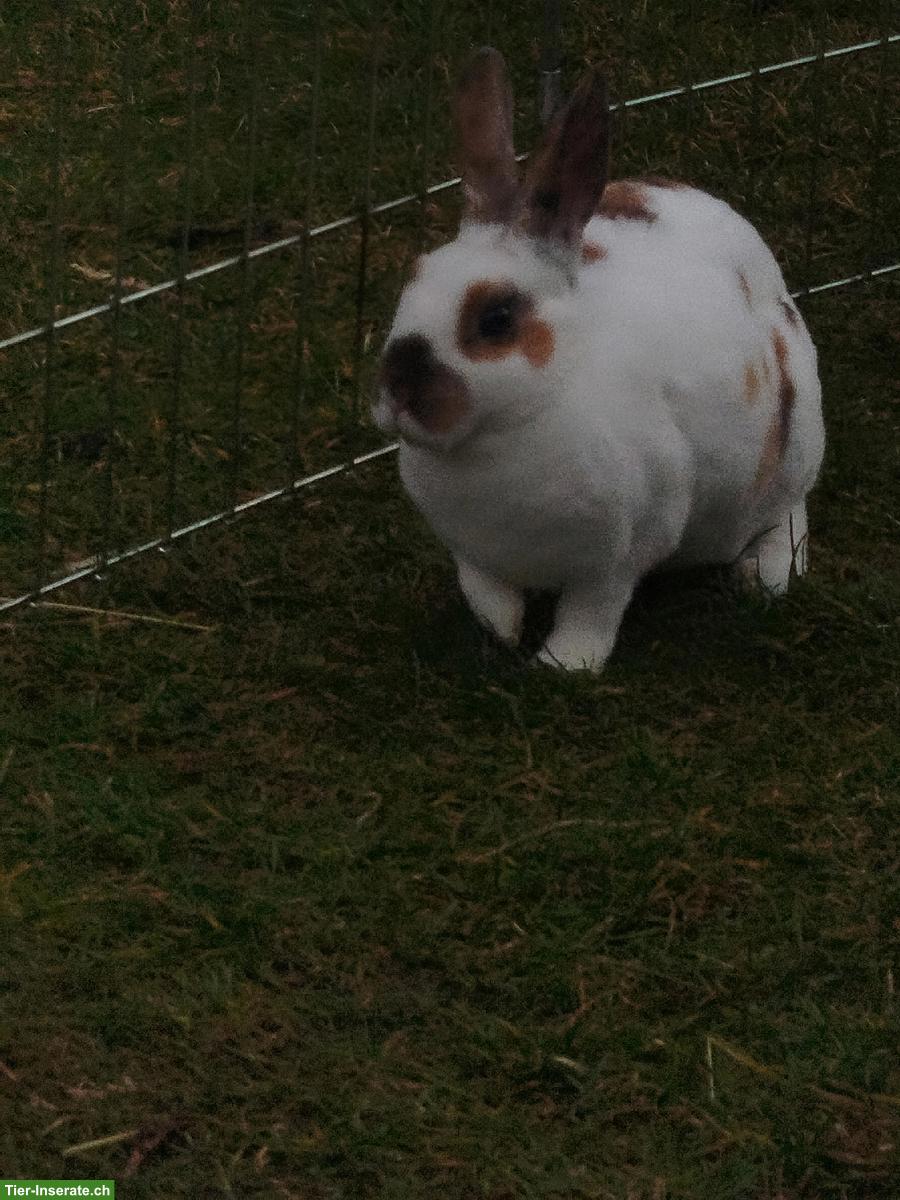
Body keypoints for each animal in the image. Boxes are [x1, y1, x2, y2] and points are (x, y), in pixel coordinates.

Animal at [372, 48, 825, 671]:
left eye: (497, 319)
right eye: (412, 280)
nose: (398, 392)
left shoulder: (621, 554)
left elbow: (592, 611)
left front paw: (563, 666)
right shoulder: (470, 552)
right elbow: (484, 589)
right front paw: (501, 633)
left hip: (793, 440)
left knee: (789, 511)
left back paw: (768, 576)